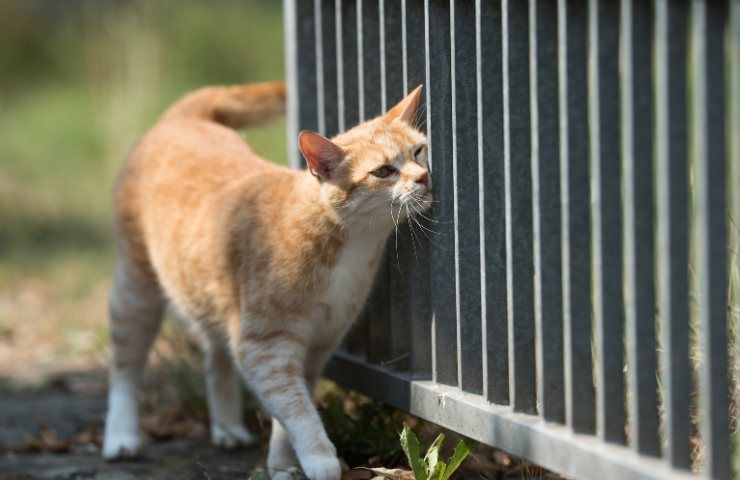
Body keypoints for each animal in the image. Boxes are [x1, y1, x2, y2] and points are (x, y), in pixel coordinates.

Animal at [101, 80, 430, 478]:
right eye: (384, 171)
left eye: (418, 152)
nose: (424, 177)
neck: (350, 242)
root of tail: (186, 116)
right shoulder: (265, 345)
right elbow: (296, 407)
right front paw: (319, 459)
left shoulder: (319, 344)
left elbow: (292, 406)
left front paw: (283, 463)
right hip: (137, 289)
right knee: (125, 366)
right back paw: (121, 437)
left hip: (214, 296)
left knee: (216, 356)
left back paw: (227, 427)